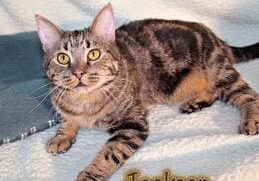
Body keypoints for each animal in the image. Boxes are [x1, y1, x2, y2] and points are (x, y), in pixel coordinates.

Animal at [35, 3, 259, 181]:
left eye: (94, 54)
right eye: (63, 58)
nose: (79, 72)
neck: (85, 101)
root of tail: (217, 38)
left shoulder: (133, 124)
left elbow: (108, 154)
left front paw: (89, 175)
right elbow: (66, 119)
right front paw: (61, 137)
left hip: (219, 72)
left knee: (248, 94)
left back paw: (250, 120)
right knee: (214, 93)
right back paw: (194, 103)